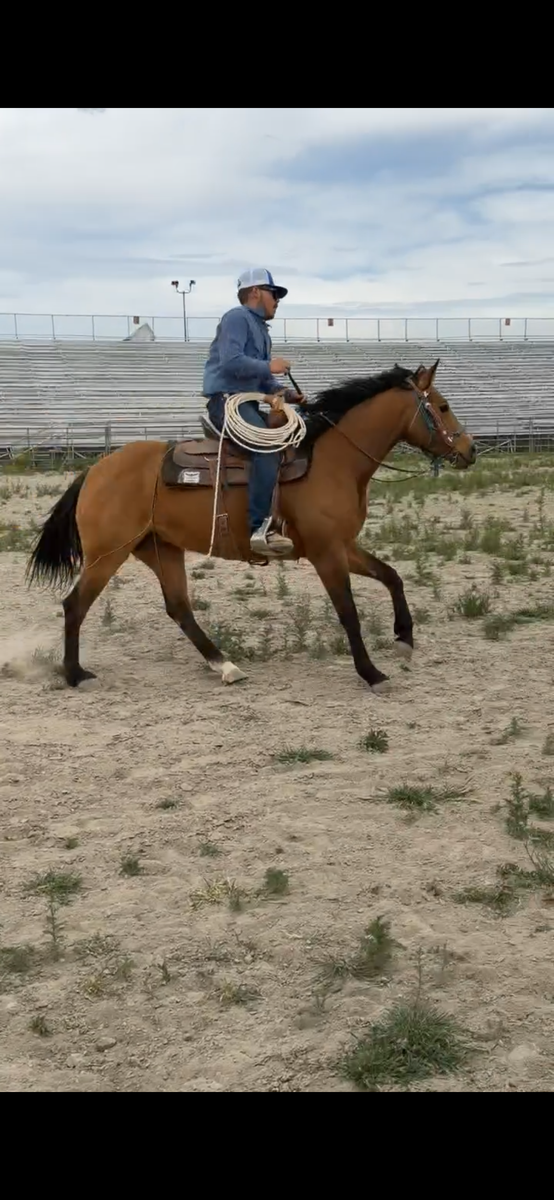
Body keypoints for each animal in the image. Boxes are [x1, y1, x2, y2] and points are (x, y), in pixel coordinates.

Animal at [26, 359, 476, 693]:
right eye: (443, 406)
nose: (470, 450)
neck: (332, 461)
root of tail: (95, 470)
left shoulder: (343, 546)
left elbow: (392, 576)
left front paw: (404, 640)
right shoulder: (326, 552)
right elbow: (348, 611)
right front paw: (371, 673)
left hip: (159, 548)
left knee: (179, 607)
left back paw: (224, 665)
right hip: (107, 553)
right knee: (75, 605)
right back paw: (75, 674)